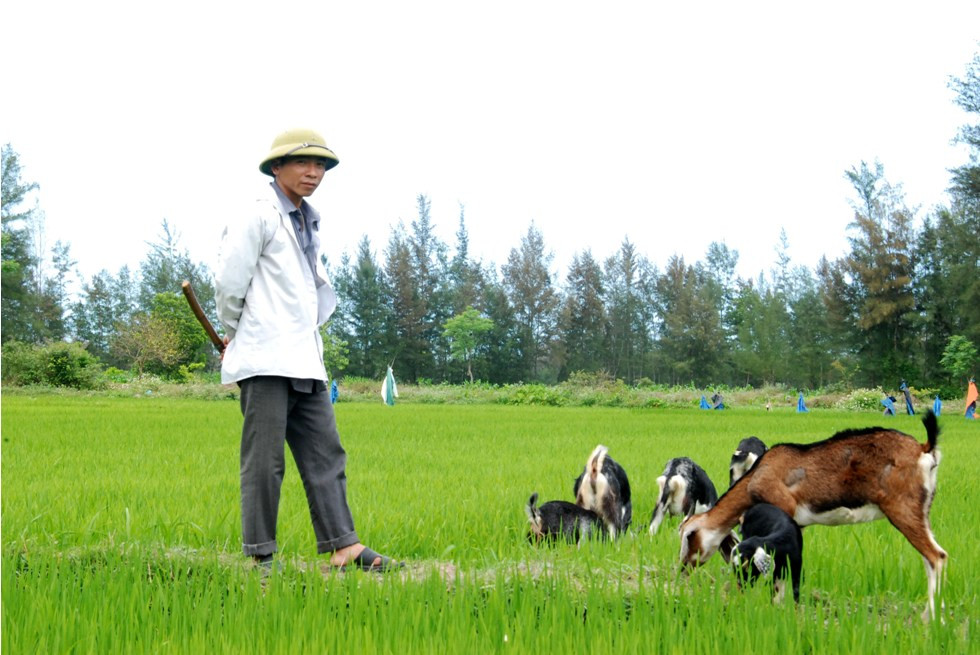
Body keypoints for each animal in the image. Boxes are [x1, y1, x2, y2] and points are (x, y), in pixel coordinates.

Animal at [676, 412, 944, 624]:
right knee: (930, 558)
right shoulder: (797, 526)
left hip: (903, 510)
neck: (758, 476)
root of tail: (924, 449)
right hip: (922, 512)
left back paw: (931, 620)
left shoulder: (783, 510)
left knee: (937, 556)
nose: (683, 568)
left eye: (690, 535)